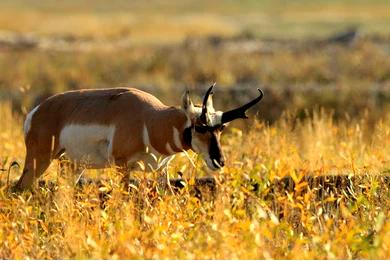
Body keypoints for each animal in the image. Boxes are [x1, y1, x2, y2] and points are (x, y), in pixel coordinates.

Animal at [16, 83, 264, 189]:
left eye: (221, 128)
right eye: (201, 127)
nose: (219, 161)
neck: (150, 119)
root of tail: (38, 110)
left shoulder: (162, 169)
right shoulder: (122, 166)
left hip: (72, 167)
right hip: (40, 160)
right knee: (19, 187)